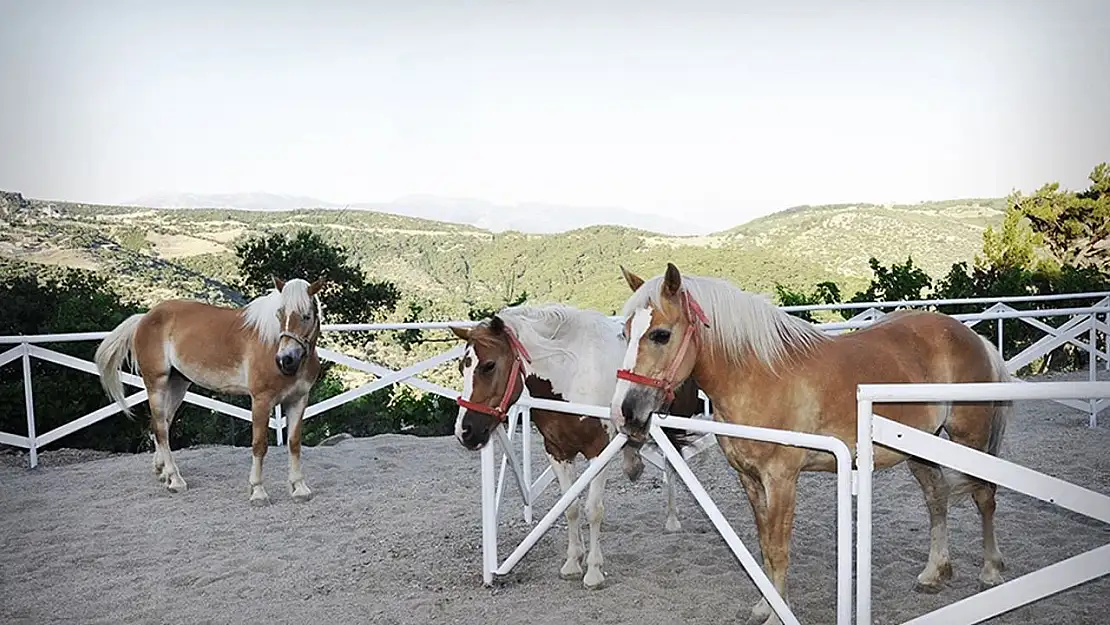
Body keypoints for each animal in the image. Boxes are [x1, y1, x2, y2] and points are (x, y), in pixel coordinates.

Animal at [95, 276, 324, 506]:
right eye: (280, 314)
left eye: (306, 316)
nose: (285, 359)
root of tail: (144, 318)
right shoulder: (261, 400)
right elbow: (259, 445)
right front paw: (258, 492)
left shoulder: (298, 400)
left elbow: (294, 443)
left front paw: (299, 488)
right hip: (156, 384)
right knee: (160, 429)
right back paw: (176, 480)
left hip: (177, 385)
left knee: (163, 426)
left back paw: (164, 473)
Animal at [448, 306, 697, 590]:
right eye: (462, 368)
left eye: (489, 366)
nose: (465, 431)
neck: (572, 374)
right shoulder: (558, 452)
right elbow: (571, 508)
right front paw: (572, 563)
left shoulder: (598, 451)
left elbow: (593, 510)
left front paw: (594, 571)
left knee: (671, 465)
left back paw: (672, 519)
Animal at [612, 264, 1012, 625]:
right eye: (626, 332)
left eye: (661, 335)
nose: (624, 412)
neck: (758, 375)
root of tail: (974, 338)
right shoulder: (750, 479)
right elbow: (764, 545)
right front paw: (766, 606)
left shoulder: (781, 480)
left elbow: (778, 548)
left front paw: (777, 615)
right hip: (919, 449)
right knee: (937, 499)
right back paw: (934, 573)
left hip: (968, 440)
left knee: (984, 496)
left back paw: (991, 571)